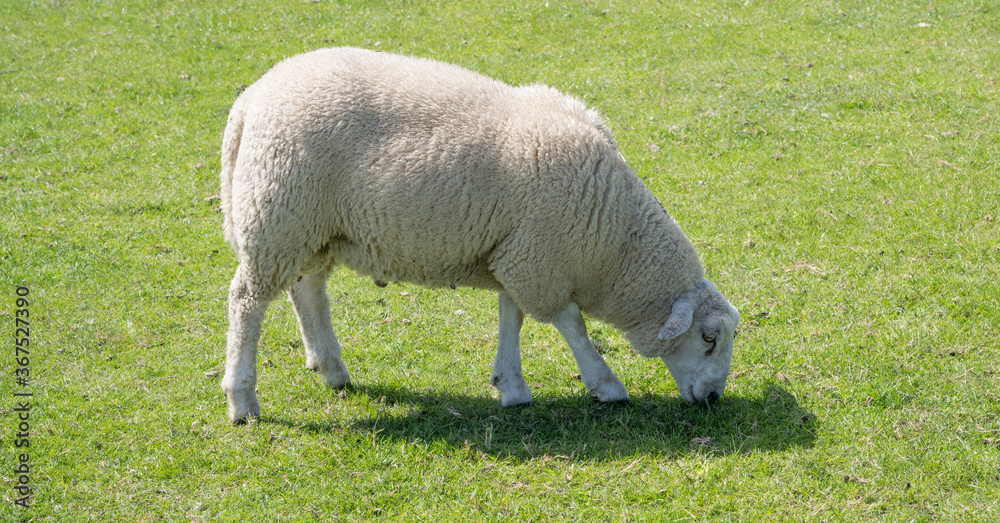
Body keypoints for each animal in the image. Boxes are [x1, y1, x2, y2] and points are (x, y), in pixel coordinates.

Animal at [219, 47, 740, 423]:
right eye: (709, 337)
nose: (714, 398)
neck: (613, 240)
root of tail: (251, 99)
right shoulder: (537, 261)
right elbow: (571, 323)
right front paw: (605, 384)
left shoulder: (514, 252)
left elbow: (513, 318)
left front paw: (511, 386)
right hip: (278, 216)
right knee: (247, 302)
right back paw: (242, 400)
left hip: (316, 228)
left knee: (307, 291)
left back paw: (331, 369)